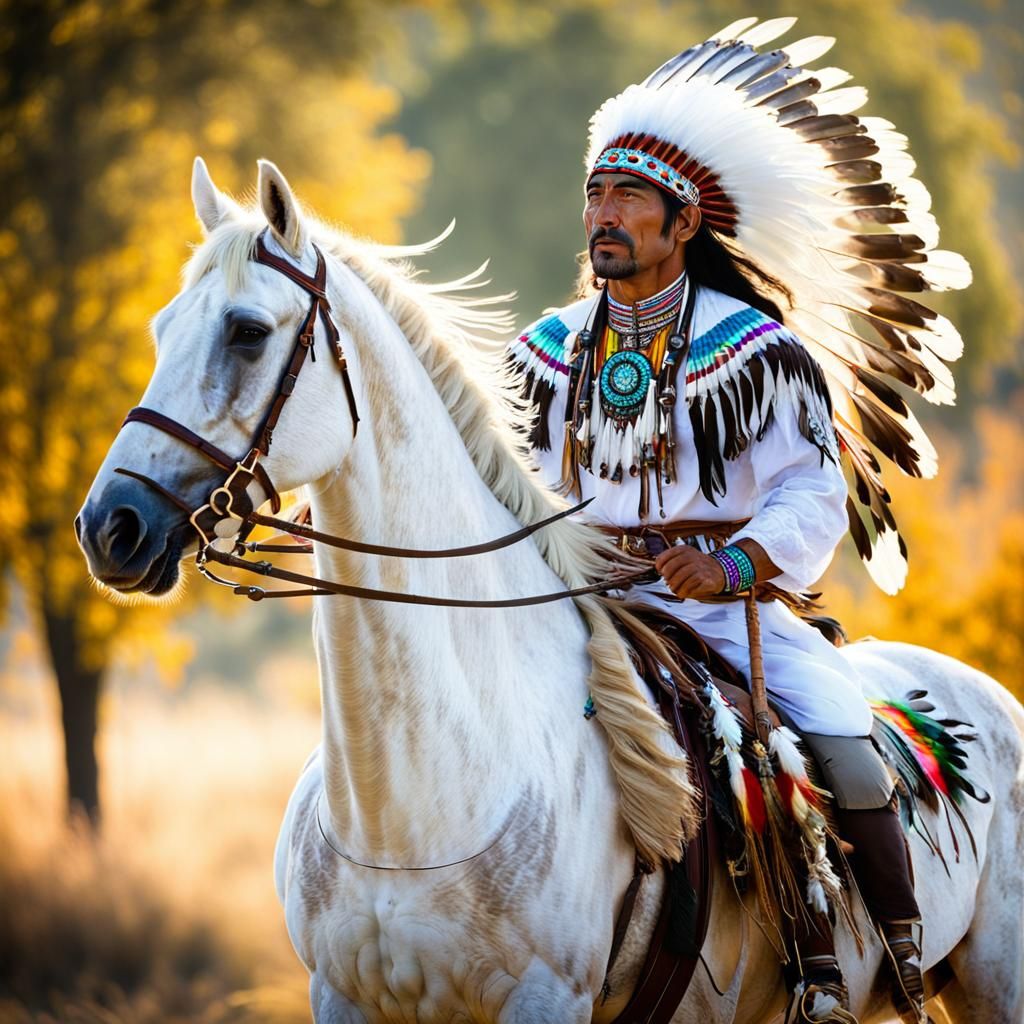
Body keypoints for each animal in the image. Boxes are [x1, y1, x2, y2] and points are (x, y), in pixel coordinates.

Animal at [76, 158, 1024, 1024]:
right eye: (163, 327)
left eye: (245, 331)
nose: (109, 527)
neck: (411, 804)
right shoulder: (343, 997)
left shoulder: (544, 998)